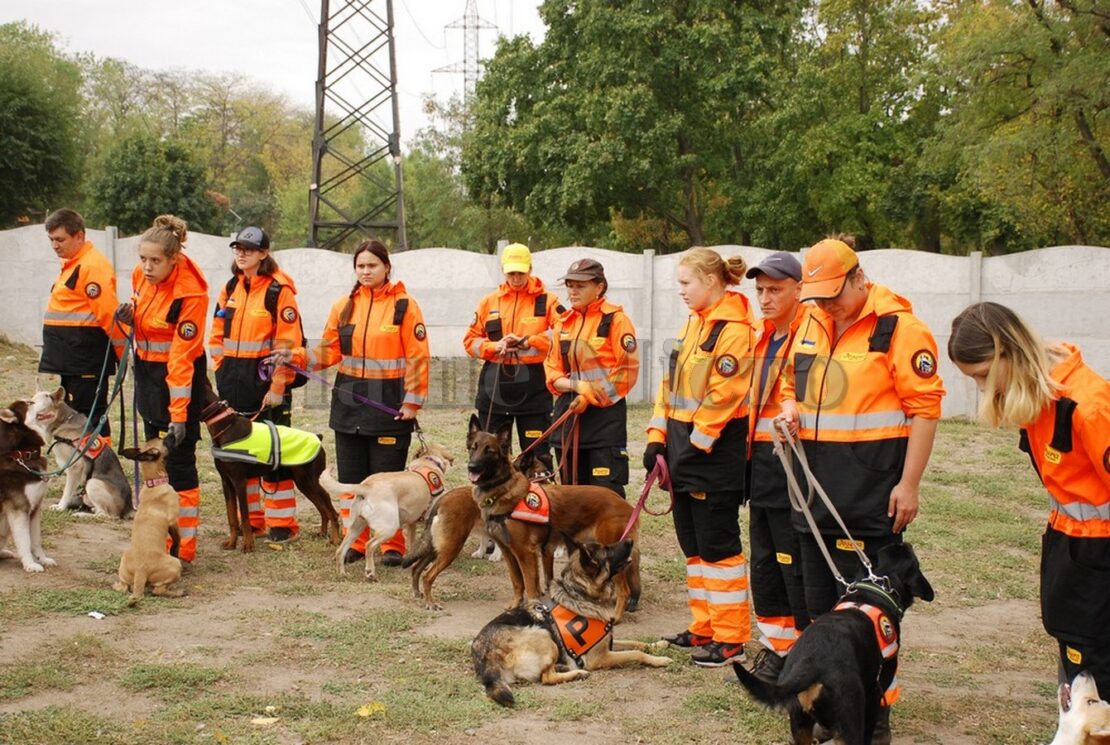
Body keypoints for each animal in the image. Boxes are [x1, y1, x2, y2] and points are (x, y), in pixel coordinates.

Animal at [114, 437, 183, 603]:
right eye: (165, 441)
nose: (172, 433)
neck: (154, 483)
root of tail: (141, 570)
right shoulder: (173, 521)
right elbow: (177, 538)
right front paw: (175, 549)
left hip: (125, 561)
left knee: (124, 586)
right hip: (175, 565)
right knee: (158, 590)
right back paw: (177, 592)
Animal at [197, 381, 337, 550]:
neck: (225, 427)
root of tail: (318, 437)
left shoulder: (239, 481)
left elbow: (244, 517)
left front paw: (248, 545)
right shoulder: (226, 482)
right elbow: (232, 517)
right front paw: (231, 542)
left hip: (308, 480)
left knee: (329, 506)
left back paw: (336, 539)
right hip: (304, 483)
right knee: (322, 509)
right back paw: (322, 533)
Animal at [321, 444, 455, 581]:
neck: (427, 462)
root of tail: (367, 485)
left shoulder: (411, 523)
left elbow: (413, 544)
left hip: (356, 527)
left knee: (340, 551)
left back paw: (342, 574)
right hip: (389, 528)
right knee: (369, 545)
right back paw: (370, 572)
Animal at [466, 417, 643, 621]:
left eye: (490, 451)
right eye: (473, 448)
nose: (471, 467)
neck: (503, 491)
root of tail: (626, 505)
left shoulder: (525, 553)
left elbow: (530, 585)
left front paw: (532, 609)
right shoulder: (513, 552)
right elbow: (519, 582)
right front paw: (516, 604)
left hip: (613, 556)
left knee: (624, 590)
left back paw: (616, 616)